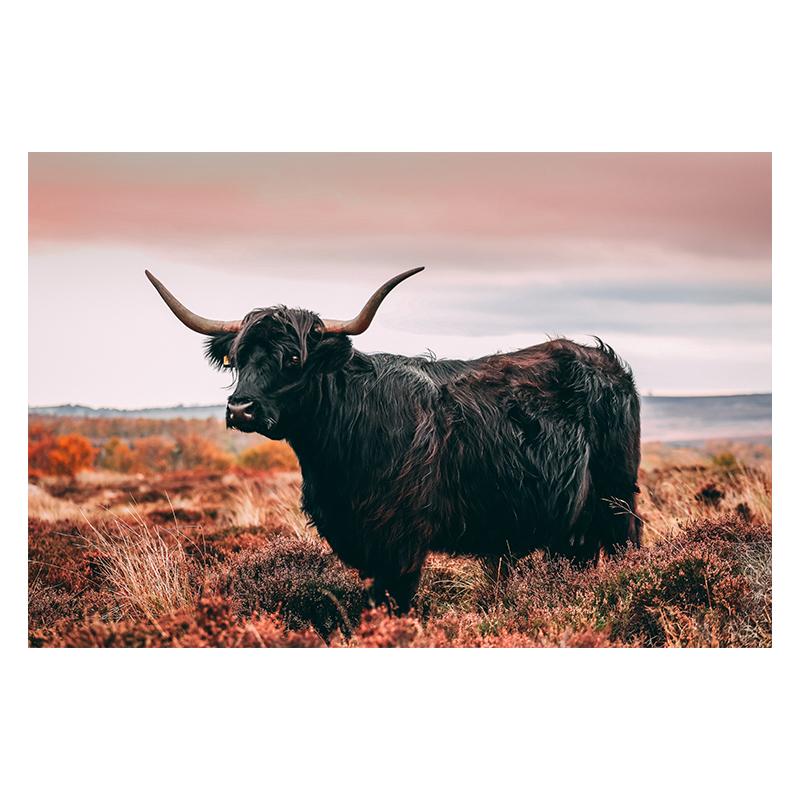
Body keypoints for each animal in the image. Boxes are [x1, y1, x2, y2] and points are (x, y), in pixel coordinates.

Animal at [147, 268, 642, 611]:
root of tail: (606, 362)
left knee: (623, 545)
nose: (240, 409)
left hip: (617, 497)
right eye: (237, 358)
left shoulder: (400, 539)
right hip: (571, 521)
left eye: (293, 358)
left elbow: (395, 603)